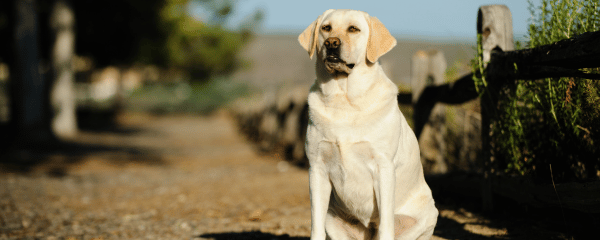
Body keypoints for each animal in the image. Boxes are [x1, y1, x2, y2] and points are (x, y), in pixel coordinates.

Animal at [298, 8, 436, 238]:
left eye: (353, 29)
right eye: (326, 28)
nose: (331, 43)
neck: (344, 99)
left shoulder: (383, 168)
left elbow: (386, 224)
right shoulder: (317, 168)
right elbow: (315, 224)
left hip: (426, 216)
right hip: (332, 217)